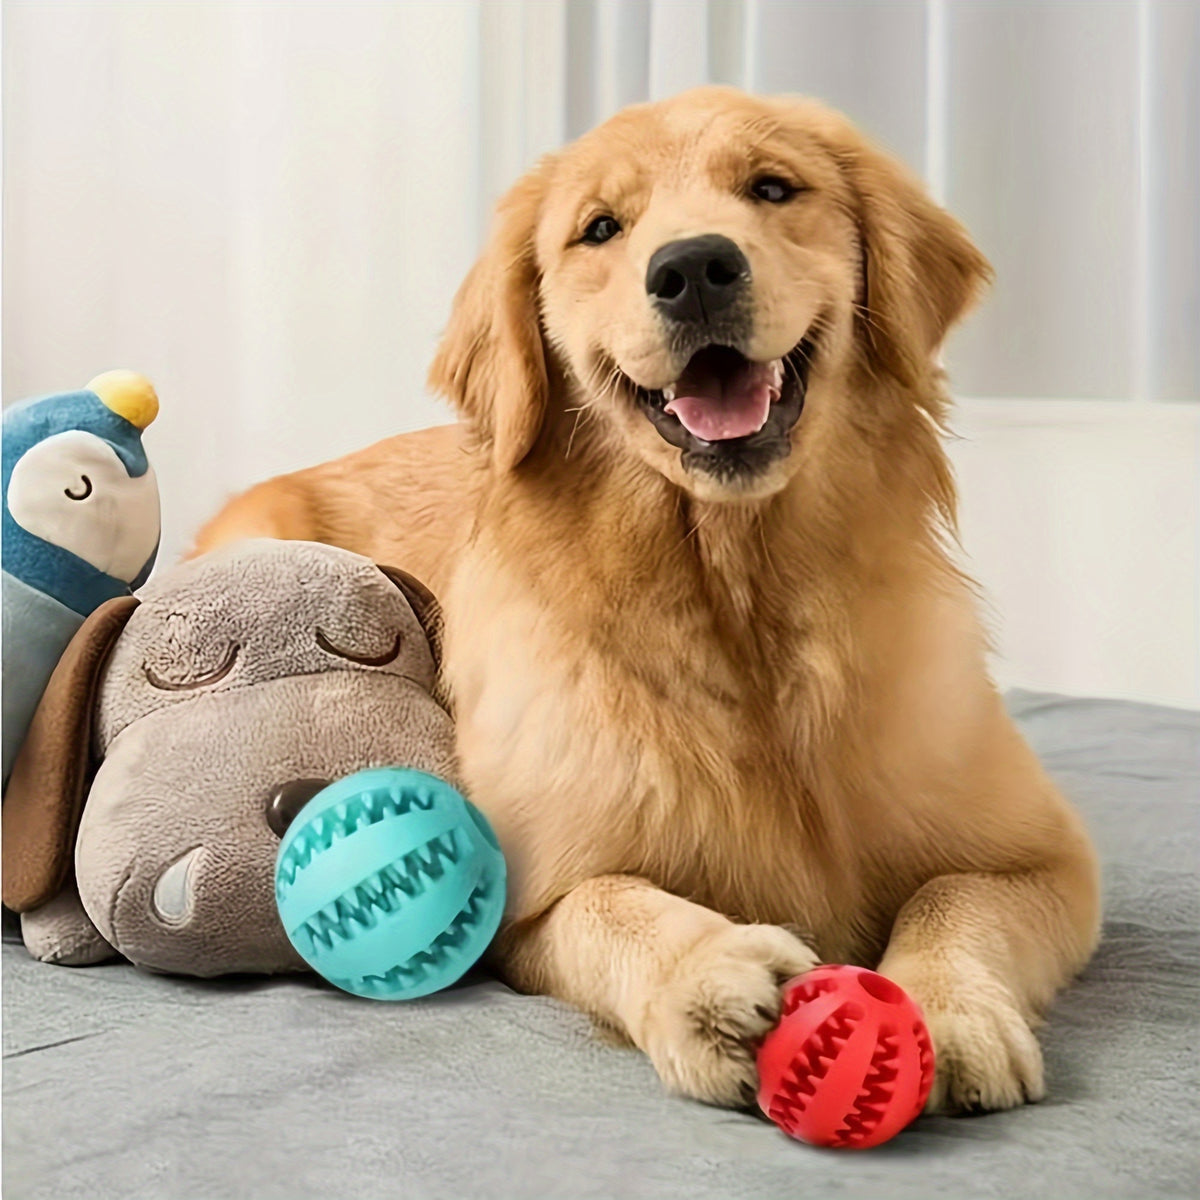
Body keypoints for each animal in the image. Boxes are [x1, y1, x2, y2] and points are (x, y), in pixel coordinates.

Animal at [194, 87, 1099, 1113]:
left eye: (773, 187)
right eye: (600, 229)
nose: (695, 267)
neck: (735, 599)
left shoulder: (1048, 858)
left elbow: (950, 897)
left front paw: (949, 1007)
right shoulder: (527, 892)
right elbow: (609, 900)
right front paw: (706, 975)